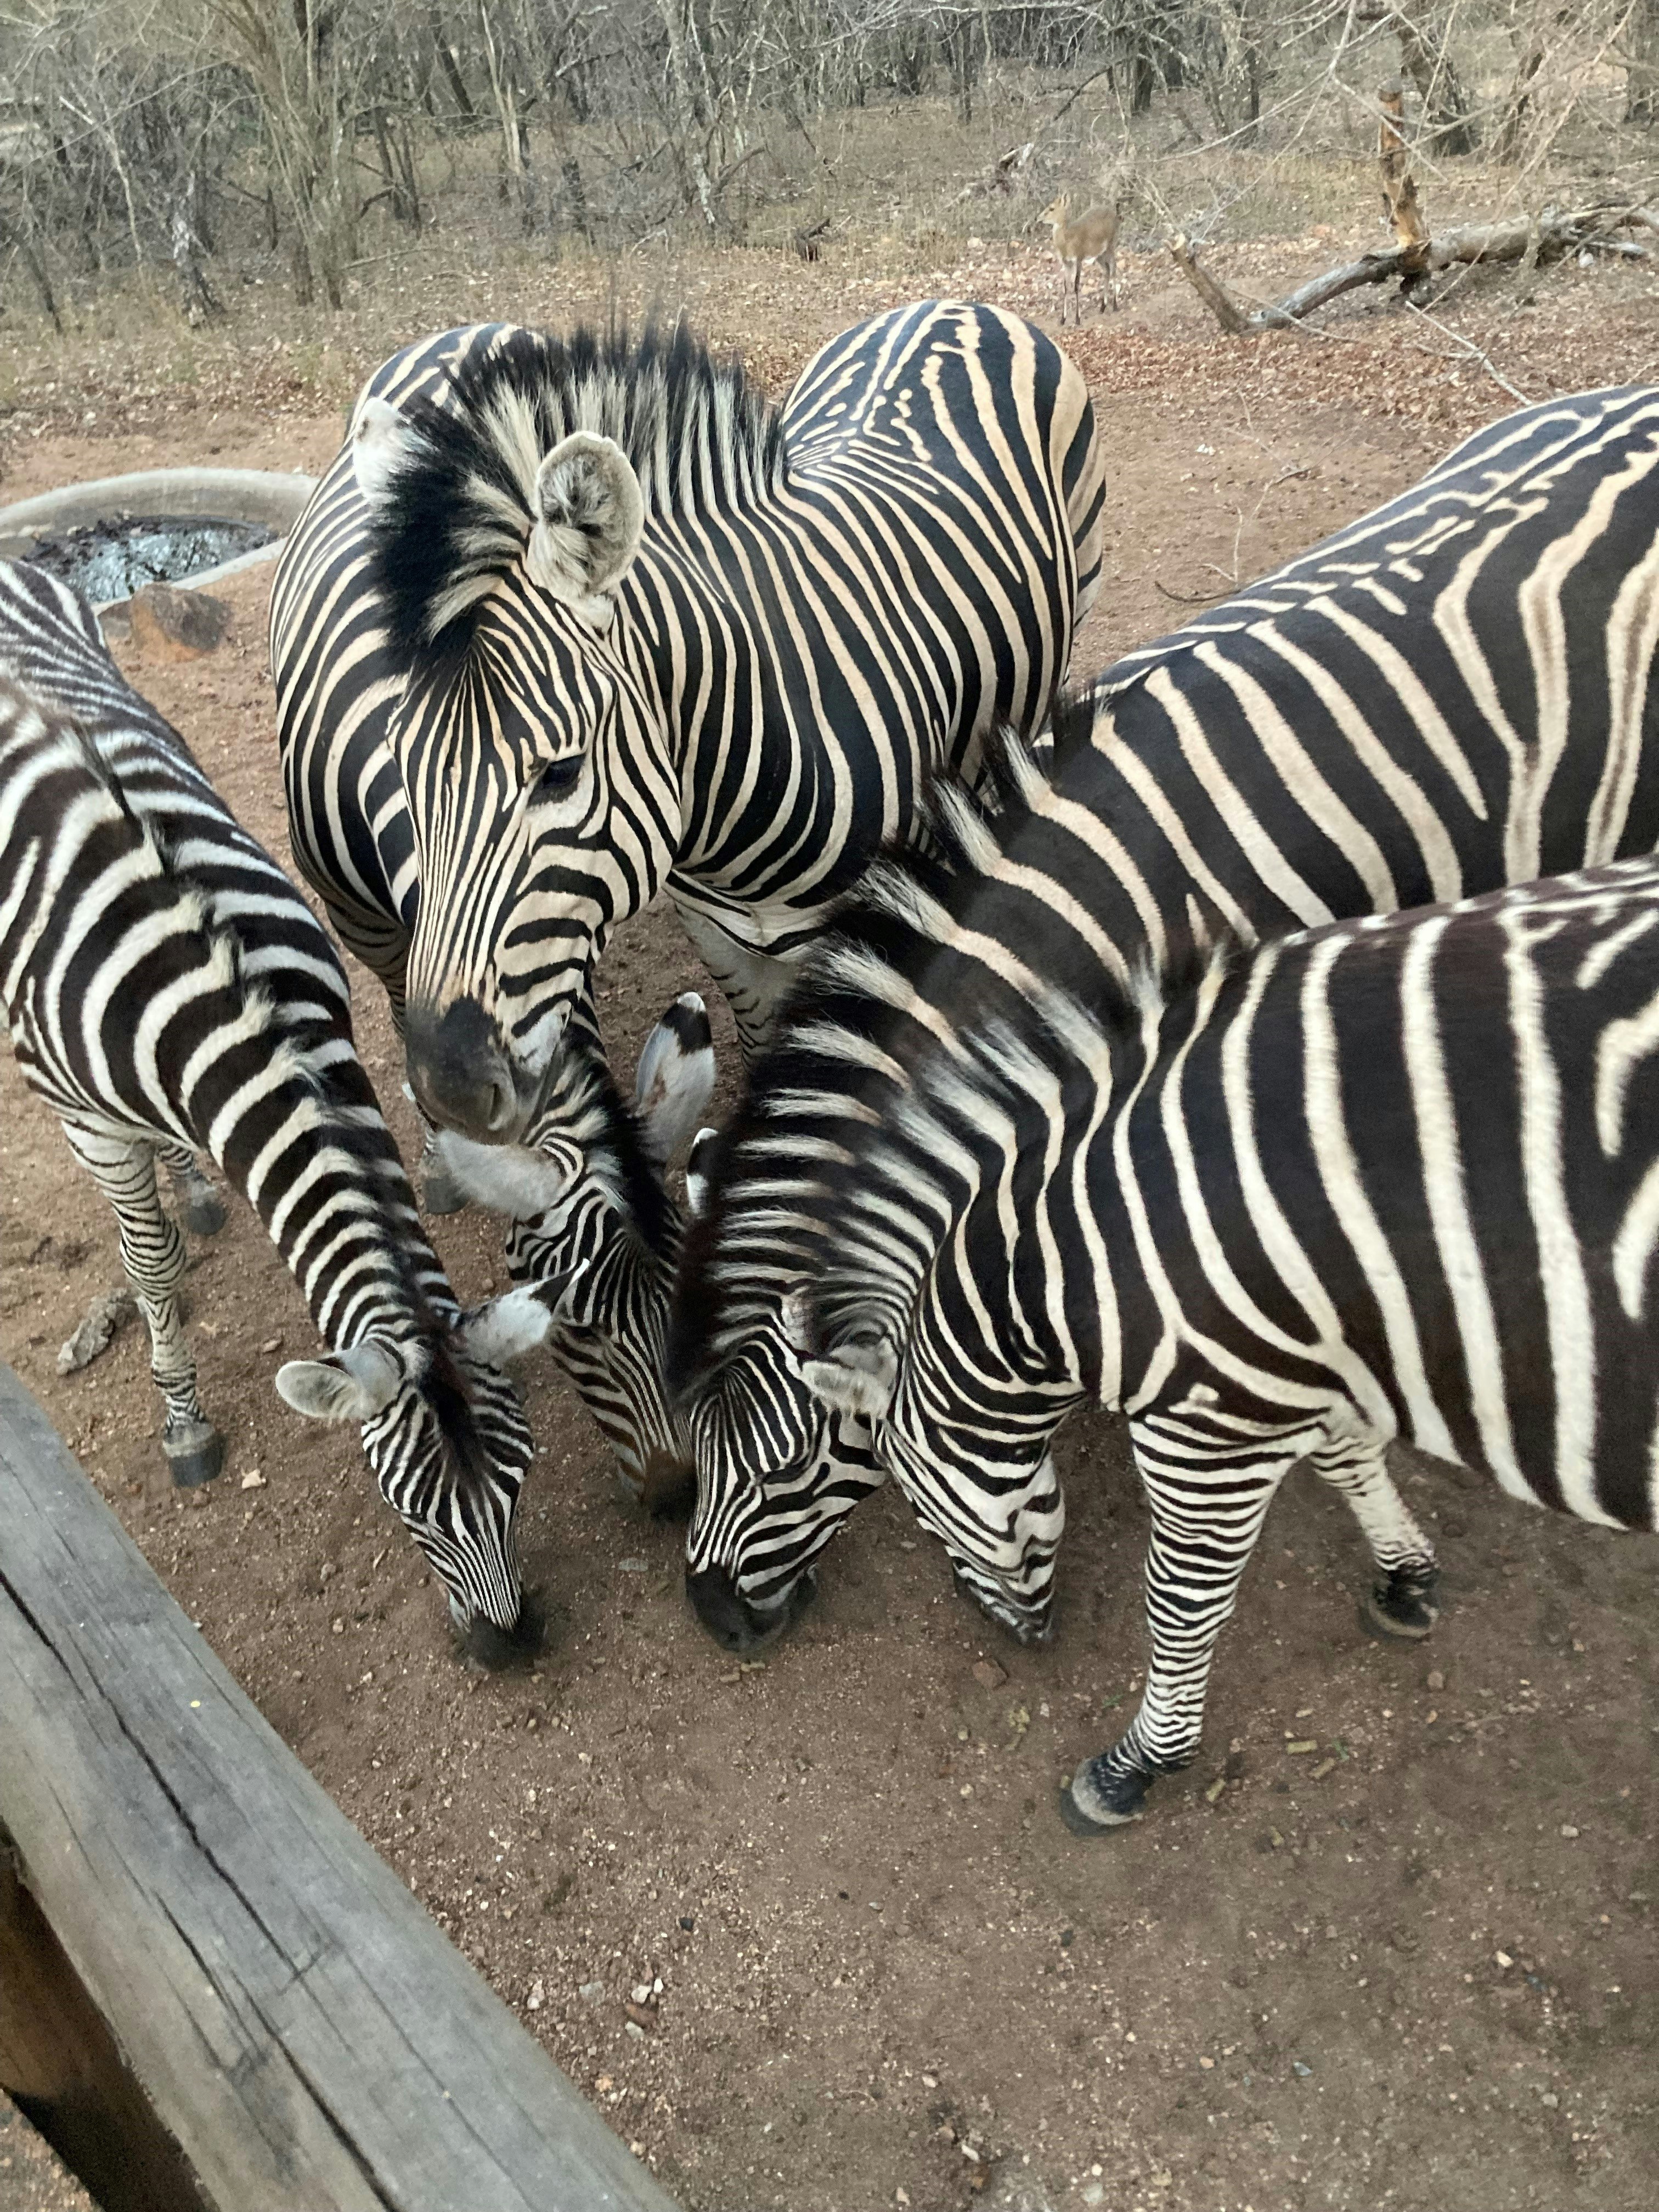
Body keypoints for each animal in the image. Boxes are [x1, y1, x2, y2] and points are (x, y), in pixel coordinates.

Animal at [0, 558, 567, 1661]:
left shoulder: (330, 1041)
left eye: (524, 1472)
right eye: (411, 1511)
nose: (509, 1650)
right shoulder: (93, 1118)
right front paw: (183, 1420)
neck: (200, 979)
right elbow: (148, 1264)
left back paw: (193, 1186)